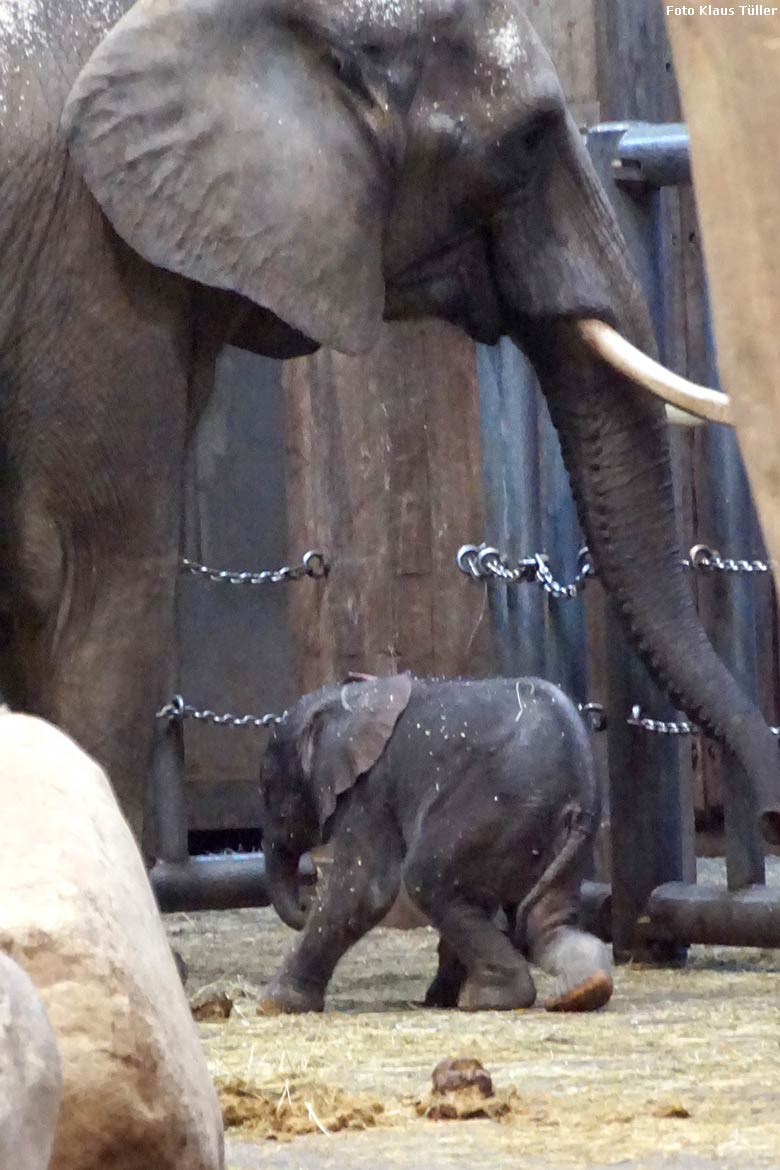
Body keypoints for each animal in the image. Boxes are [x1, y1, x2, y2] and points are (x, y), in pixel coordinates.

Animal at [259, 678, 612, 1015]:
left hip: (494, 806)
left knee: (425, 878)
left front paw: (273, 1005)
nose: (305, 904)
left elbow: (365, 889)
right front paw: (438, 999)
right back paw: (584, 990)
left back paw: (491, 999)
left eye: (269, 790)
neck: (348, 699)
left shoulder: (370, 788)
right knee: (545, 921)